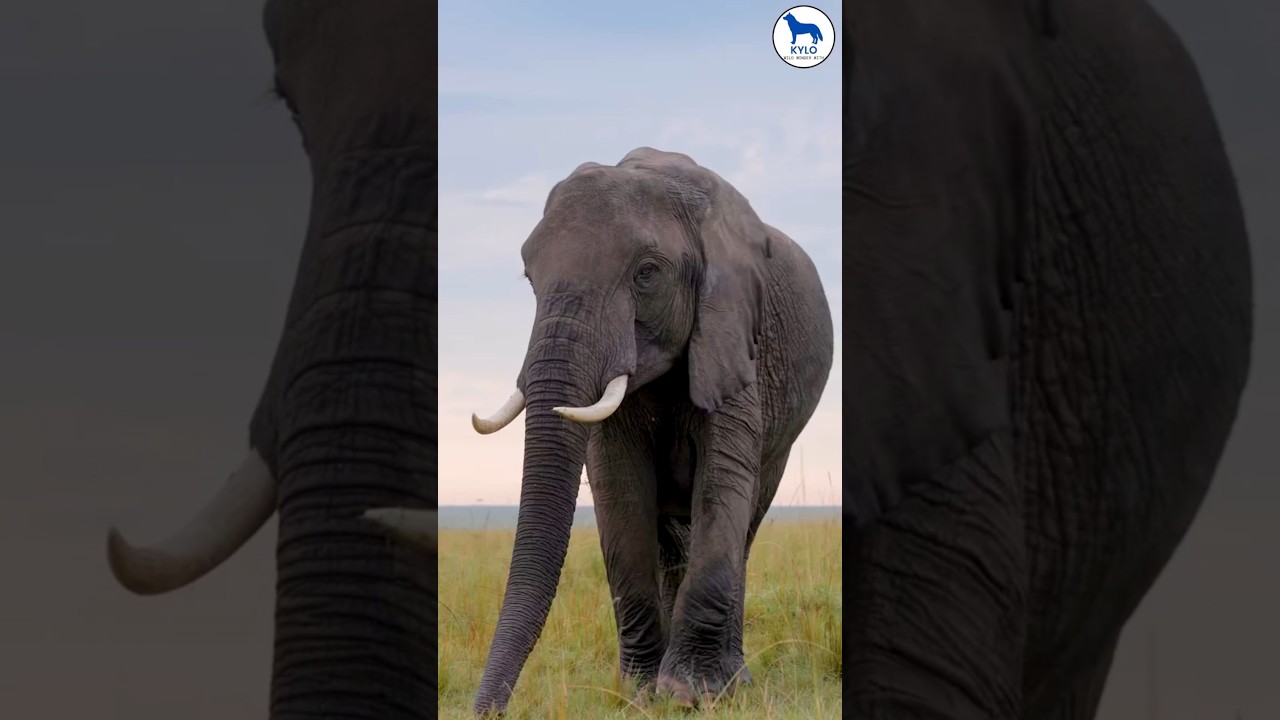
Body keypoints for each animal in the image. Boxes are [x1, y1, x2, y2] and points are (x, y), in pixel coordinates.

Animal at [376, 147, 835, 714]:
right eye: (530, 278)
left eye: (647, 273)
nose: (485, 711)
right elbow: (619, 490)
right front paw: (642, 694)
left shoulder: (734, 340)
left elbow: (721, 483)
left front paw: (690, 696)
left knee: (744, 520)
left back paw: (732, 682)